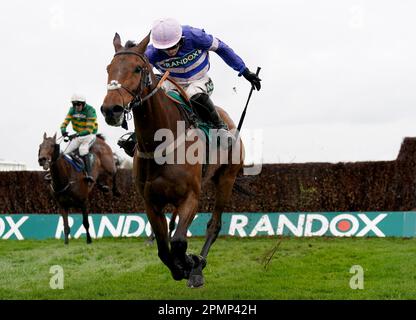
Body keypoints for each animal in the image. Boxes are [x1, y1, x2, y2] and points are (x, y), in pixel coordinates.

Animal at [100, 33, 244, 288]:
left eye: (137, 68)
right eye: (109, 68)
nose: (111, 109)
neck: (159, 143)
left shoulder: (191, 197)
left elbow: (178, 242)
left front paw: (191, 264)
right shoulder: (151, 203)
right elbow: (163, 247)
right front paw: (179, 266)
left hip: (226, 179)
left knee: (214, 225)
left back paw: (199, 265)